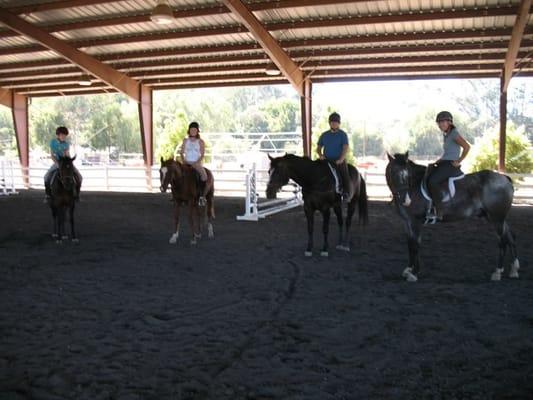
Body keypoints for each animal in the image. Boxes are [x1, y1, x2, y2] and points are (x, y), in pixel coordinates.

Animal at [384, 152, 516, 282]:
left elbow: (415, 245)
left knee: (502, 241)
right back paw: (514, 270)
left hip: (497, 218)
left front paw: (414, 273)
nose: (406, 200)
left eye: (407, 175)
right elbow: (410, 244)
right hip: (496, 218)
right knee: (509, 237)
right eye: (393, 172)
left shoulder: (415, 221)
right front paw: (408, 270)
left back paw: (497, 272)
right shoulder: (407, 222)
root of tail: (504, 178)